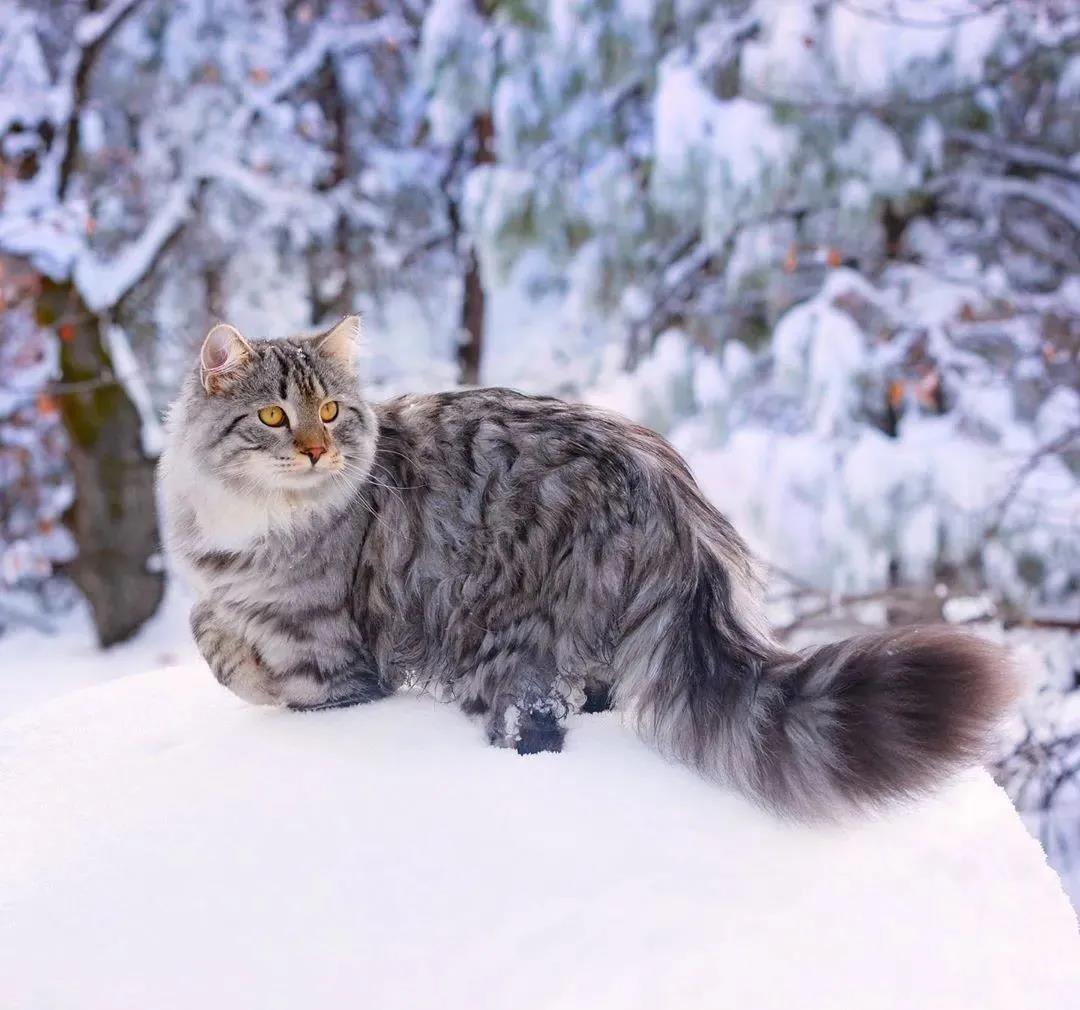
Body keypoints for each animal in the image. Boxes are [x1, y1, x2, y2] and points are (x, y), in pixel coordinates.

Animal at [156, 319, 1015, 816]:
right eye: (274, 416)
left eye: (331, 413)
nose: (315, 450)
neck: (245, 519)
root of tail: (672, 497)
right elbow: (210, 627)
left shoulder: (329, 663)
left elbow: (240, 662)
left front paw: (227, 650)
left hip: (500, 645)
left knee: (537, 729)